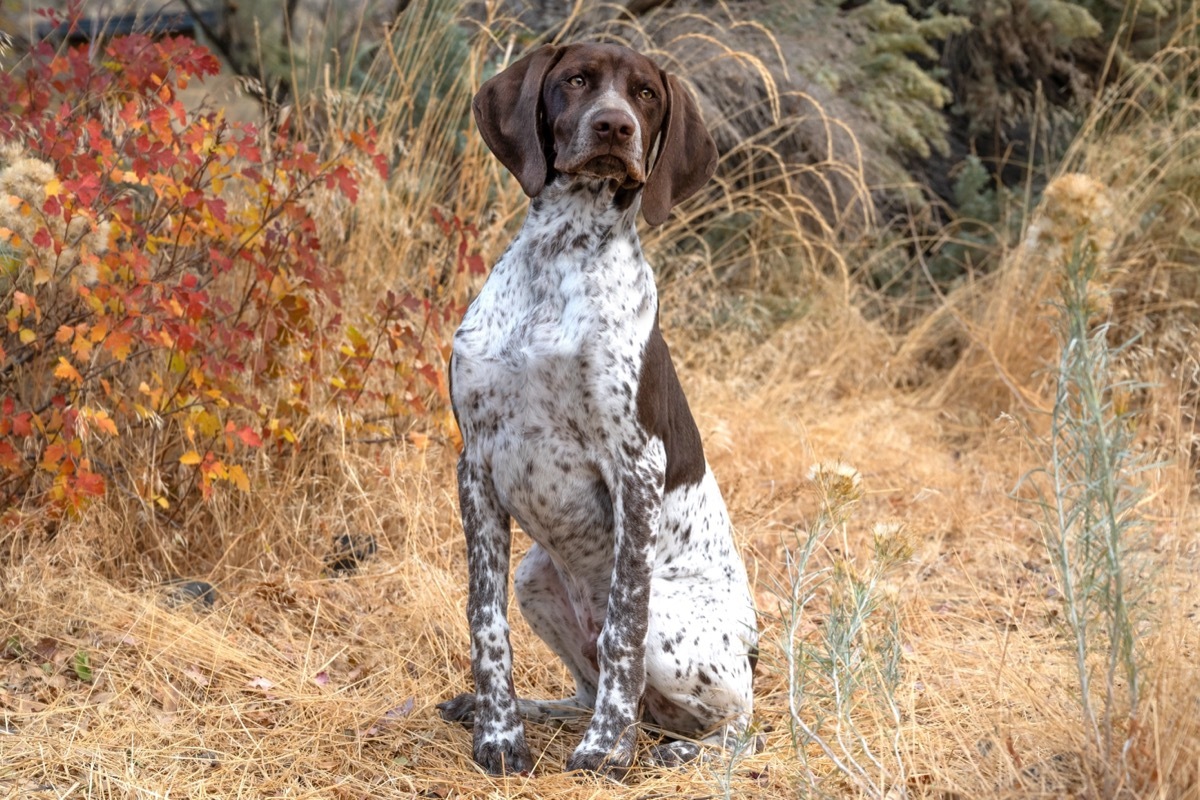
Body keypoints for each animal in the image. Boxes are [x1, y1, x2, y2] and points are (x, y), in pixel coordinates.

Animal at [441, 42, 753, 777]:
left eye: (646, 95)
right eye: (576, 80)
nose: (614, 127)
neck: (561, 255)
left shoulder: (635, 468)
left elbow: (623, 629)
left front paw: (608, 750)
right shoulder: (476, 462)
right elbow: (484, 620)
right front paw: (498, 735)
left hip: (681, 632)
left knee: (737, 720)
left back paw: (675, 750)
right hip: (535, 575)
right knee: (584, 688)